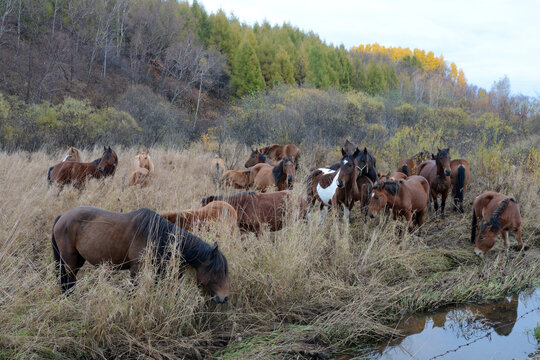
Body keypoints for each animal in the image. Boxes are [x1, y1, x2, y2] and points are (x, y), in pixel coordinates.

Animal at [49, 207, 229, 302]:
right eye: (216, 271)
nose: (225, 298)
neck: (157, 234)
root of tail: (62, 217)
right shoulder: (137, 269)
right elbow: (132, 291)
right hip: (70, 261)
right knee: (68, 282)